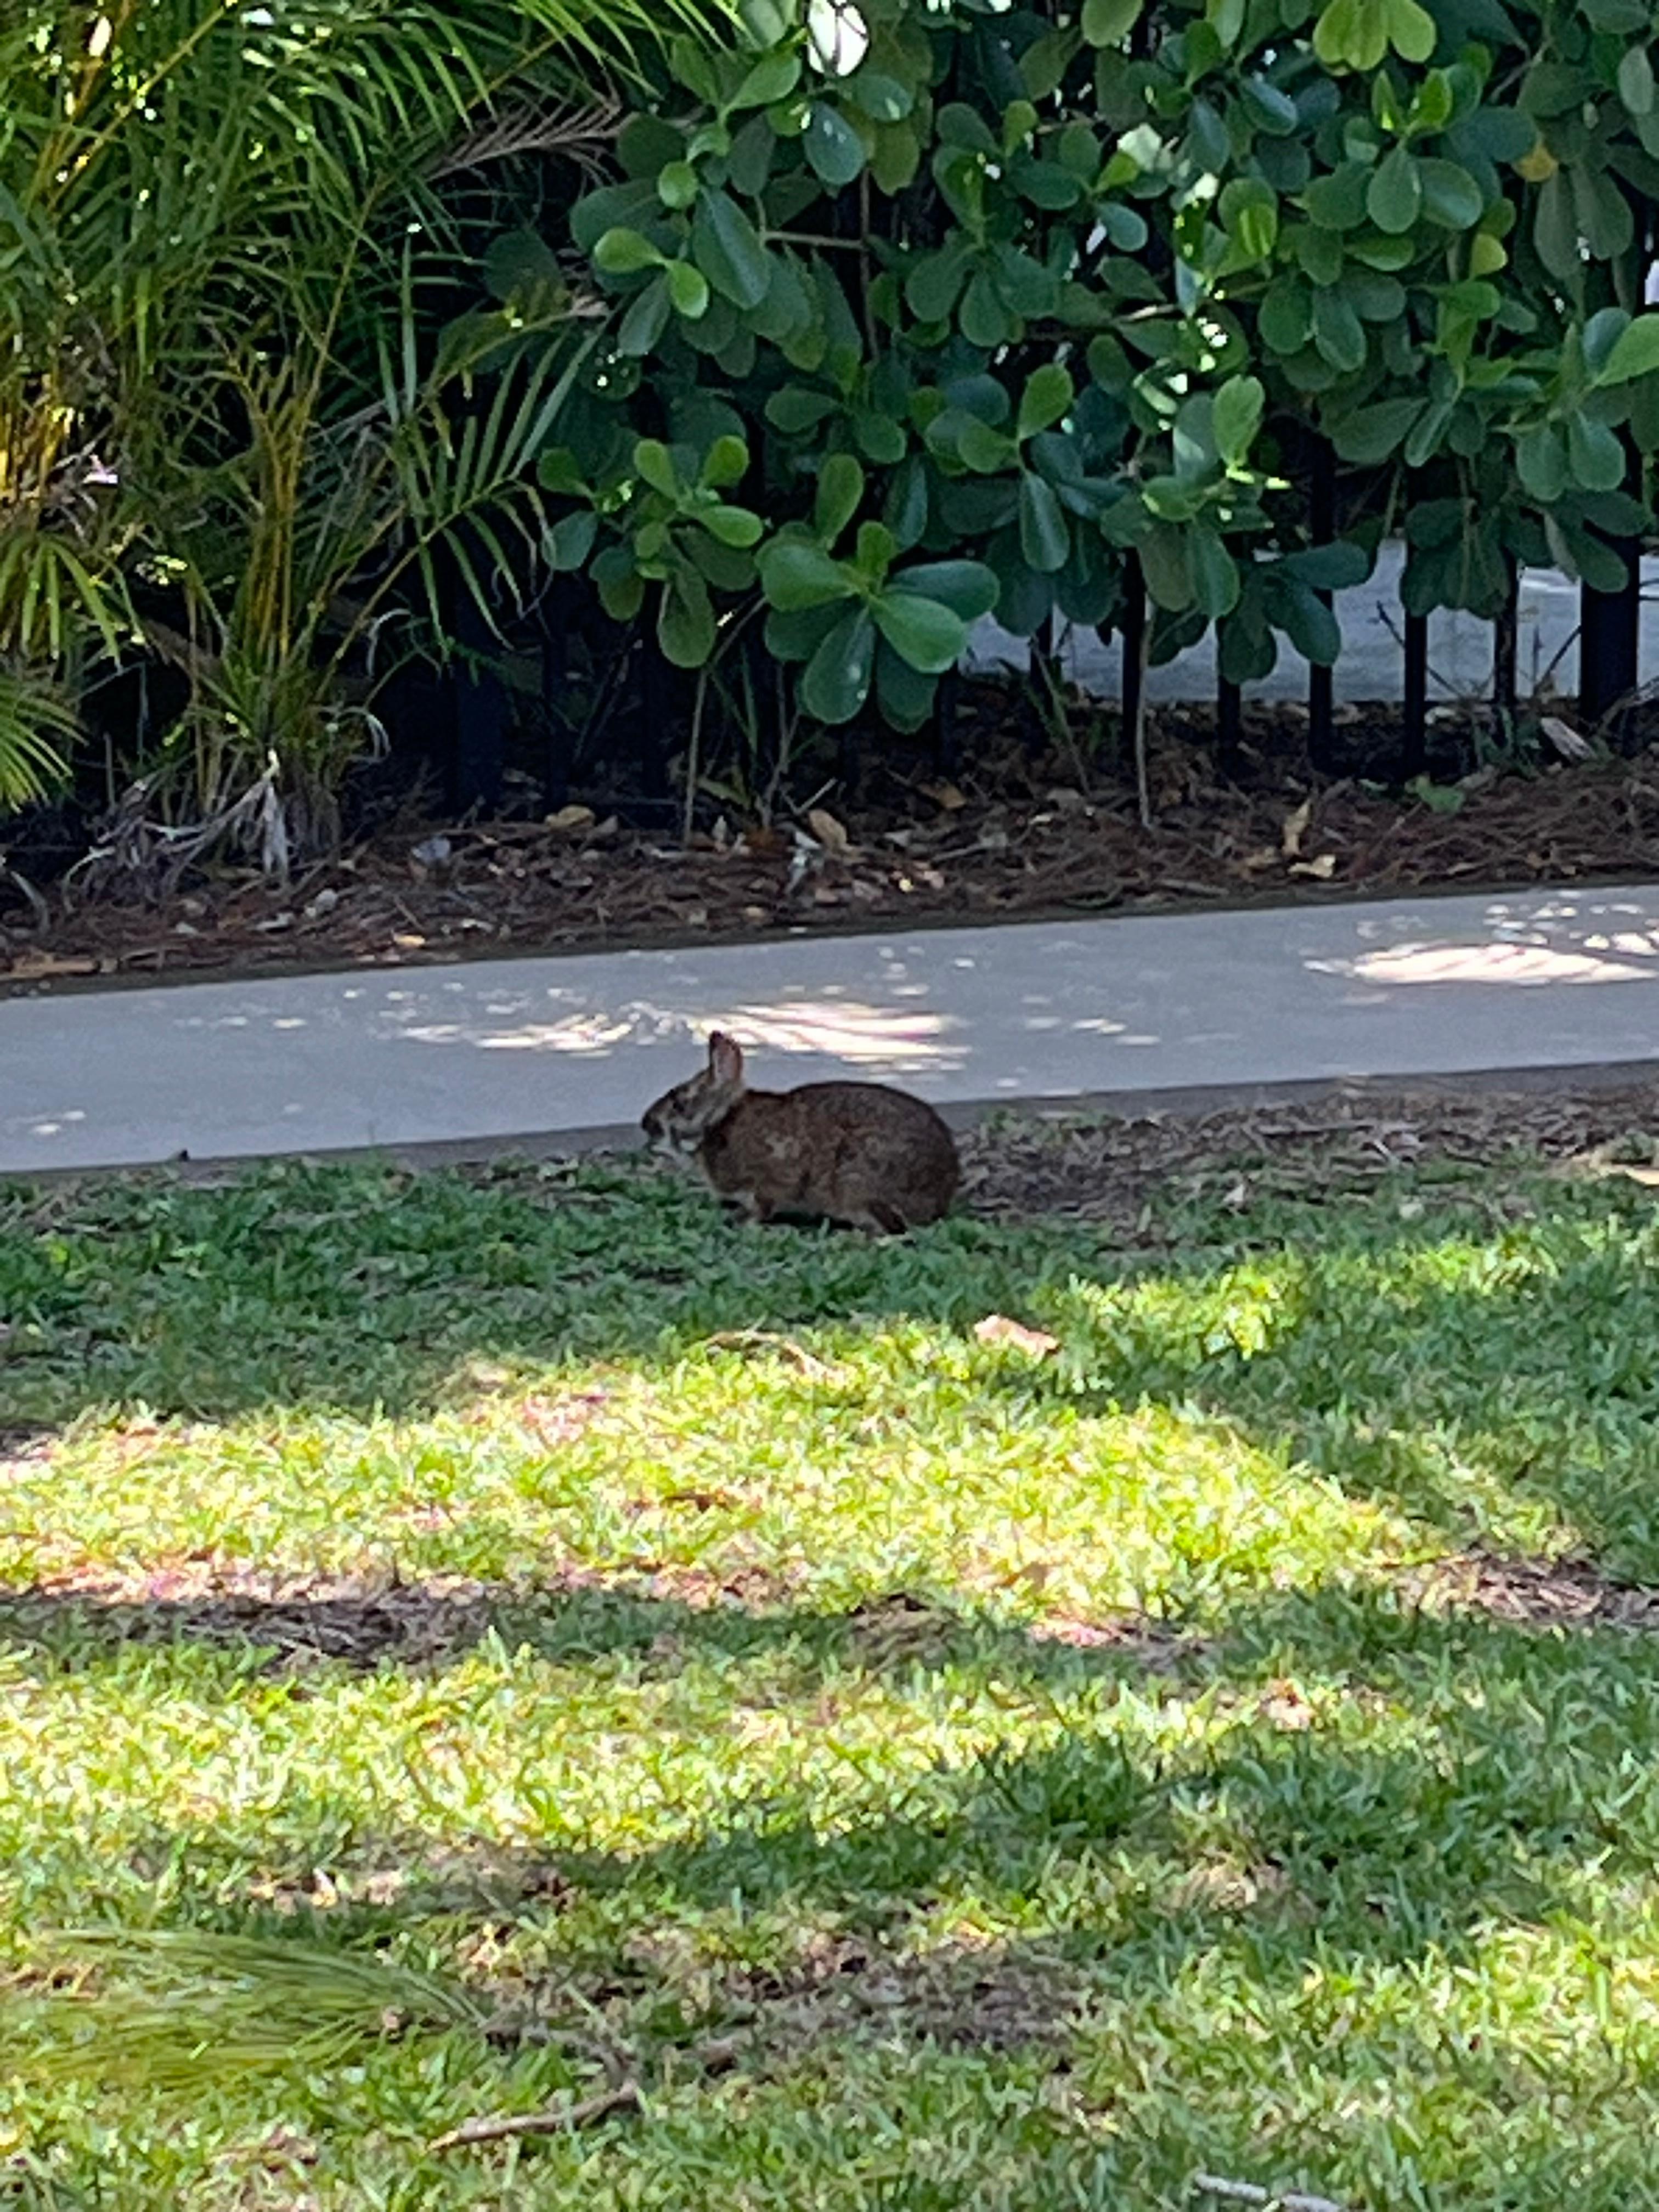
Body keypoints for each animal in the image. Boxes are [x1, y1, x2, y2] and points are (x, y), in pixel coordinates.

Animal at [641, 1031, 959, 1232]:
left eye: (679, 1103)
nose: (646, 1124)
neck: (720, 1122)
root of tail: (940, 1193)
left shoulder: (773, 1176)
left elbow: (765, 1203)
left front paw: (742, 1220)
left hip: (856, 1181)